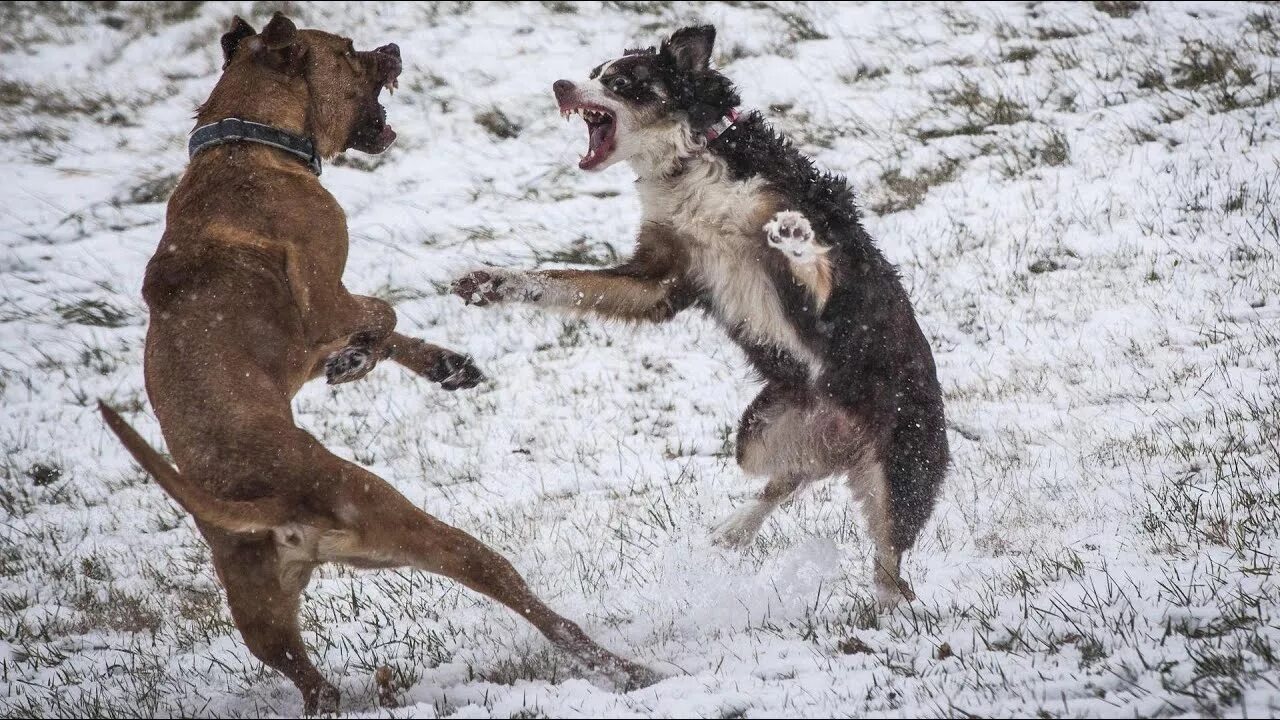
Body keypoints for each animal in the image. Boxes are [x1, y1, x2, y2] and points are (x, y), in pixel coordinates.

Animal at [101, 12, 655, 712]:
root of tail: (272, 509)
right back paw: (622, 667)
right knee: (506, 581)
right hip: (407, 525)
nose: (390, 47)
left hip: (262, 614)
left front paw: (436, 364)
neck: (243, 143)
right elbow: (382, 314)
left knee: (312, 683)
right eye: (346, 50)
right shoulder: (324, 301)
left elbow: (380, 331)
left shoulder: (310, 345)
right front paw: (363, 358)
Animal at [453, 25, 952, 602]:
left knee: (888, 563)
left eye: (621, 80)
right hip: (761, 435)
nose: (560, 85)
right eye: (593, 71)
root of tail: (849, 441)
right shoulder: (661, 281)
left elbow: (815, 262)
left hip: (903, 473)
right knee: (791, 477)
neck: (691, 161)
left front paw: (794, 235)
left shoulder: (819, 253)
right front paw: (491, 282)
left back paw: (889, 608)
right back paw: (736, 529)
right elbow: (561, 282)